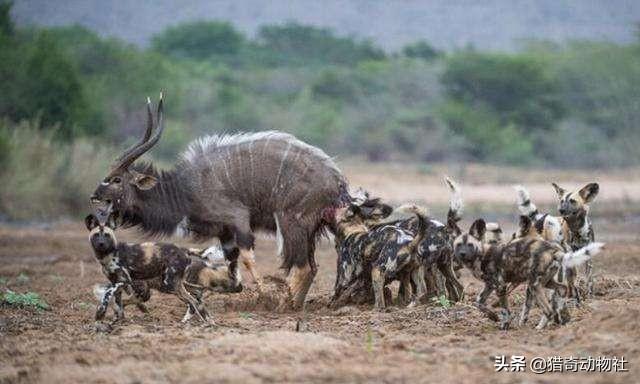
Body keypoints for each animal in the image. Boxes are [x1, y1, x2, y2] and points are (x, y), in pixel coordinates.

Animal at [86, 213, 241, 324]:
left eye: (107, 235)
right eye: (96, 235)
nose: (101, 244)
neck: (108, 255)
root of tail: (183, 249)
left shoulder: (123, 281)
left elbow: (107, 294)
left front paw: (100, 313)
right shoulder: (116, 283)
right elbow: (117, 305)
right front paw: (116, 321)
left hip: (169, 284)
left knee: (193, 301)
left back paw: (203, 322)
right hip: (174, 285)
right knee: (195, 299)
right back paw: (207, 321)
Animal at [452, 219, 604, 330]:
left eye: (470, 245)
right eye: (459, 245)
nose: (462, 254)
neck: (481, 255)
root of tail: (554, 250)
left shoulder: (500, 286)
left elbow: (505, 311)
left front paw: (505, 325)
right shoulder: (489, 285)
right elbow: (478, 303)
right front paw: (492, 316)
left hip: (534, 285)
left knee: (549, 310)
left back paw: (539, 328)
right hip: (546, 282)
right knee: (562, 289)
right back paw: (561, 319)